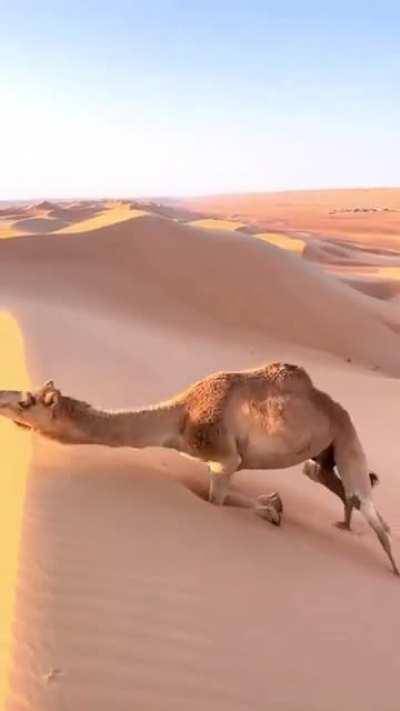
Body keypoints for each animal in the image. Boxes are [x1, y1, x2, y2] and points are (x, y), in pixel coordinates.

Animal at [0, 362, 397, 576]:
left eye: (25, 402)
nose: (1, 397)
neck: (179, 418)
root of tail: (335, 408)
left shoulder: (223, 457)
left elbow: (218, 501)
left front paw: (272, 508)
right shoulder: (220, 461)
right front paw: (273, 504)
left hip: (346, 435)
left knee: (367, 503)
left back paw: (392, 567)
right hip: (323, 452)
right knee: (332, 482)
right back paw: (343, 525)